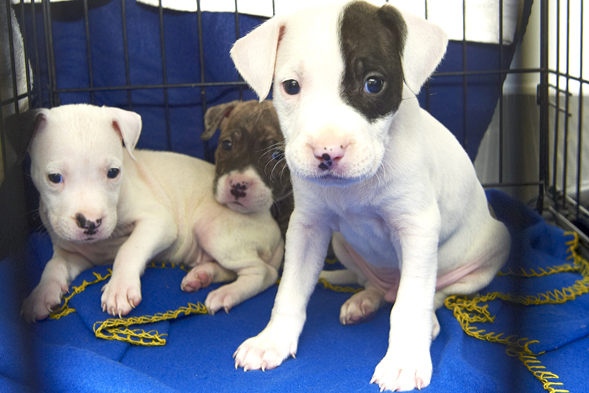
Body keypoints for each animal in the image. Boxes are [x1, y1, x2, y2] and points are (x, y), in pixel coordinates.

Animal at [19, 102, 284, 320]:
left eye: (113, 172)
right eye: (54, 178)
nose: (90, 223)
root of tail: (275, 229)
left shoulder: (159, 223)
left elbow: (128, 249)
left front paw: (119, 288)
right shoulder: (70, 252)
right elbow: (53, 267)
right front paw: (41, 294)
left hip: (212, 230)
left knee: (263, 273)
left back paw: (227, 294)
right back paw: (202, 276)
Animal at [230, 1, 510, 390]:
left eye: (373, 84)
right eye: (291, 87)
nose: (327, 152)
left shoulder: (418, 229)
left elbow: (412, 303)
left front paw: (405, 359)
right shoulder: (307, 227)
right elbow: (290, 289)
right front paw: (272, 341)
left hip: (489, 250)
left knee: (433, 293)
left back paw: (427, 323)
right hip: (343, 246)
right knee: (379, 287)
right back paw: (364, 300)